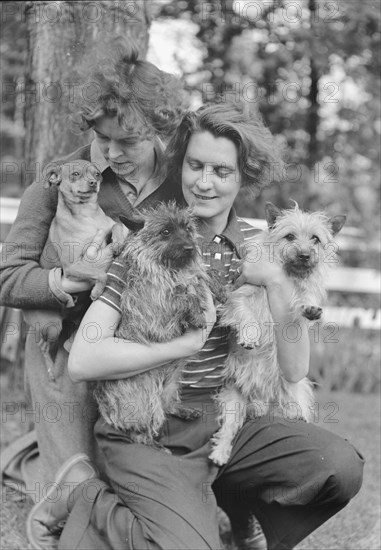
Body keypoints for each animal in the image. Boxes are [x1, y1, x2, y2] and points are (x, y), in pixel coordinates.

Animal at [92, 203, 211, 448]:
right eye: (165, 232)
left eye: (187, 229)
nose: (190, 248)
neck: (170, 268)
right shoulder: (158, 308)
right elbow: (184, 295)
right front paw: (196, 313)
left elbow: (198, 282)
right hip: (144, 398)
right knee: (139, 433)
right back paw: (157, 446)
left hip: (172, 383)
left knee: (167, 404)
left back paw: (183, 411)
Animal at [208, 202, 344, 466]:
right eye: (289, 236)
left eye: (315, 239)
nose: (304, 255)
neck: (286, 275)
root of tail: (261, 403)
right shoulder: (238, 296)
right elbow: (245, 313)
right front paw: (250, 335)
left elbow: (302, 299)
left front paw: (309, 307)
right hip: (233, 400)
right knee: (228, 428)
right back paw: (220, 453)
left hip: (293, 397)